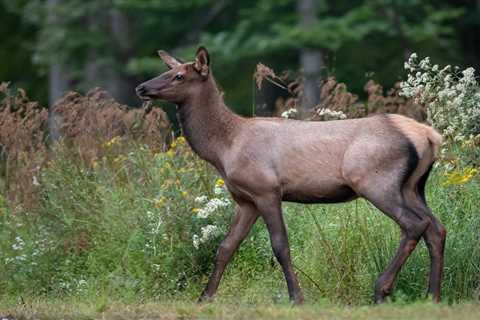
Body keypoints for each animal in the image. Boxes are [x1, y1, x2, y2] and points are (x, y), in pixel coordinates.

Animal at [135, 46, 446, 304]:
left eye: (179, 76)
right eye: (166, 70)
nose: (141, 87)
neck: (224, 149)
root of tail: (430, 136)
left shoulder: (267, 190)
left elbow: (280, 246)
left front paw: (297, 297)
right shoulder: (245, 200)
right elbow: (225, 247)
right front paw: (204, 298)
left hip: (375, 180)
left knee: (414, 225)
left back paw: (382, 289)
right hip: (413, 186)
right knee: (436, 227)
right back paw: (432, 295)